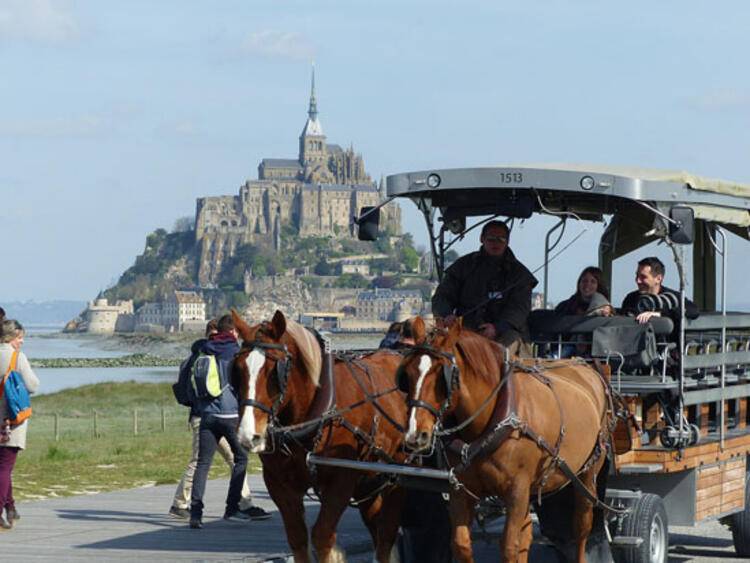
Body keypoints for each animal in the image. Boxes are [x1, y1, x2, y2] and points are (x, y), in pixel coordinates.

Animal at [232, 310, 408, 563]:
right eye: (236, 370)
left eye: (275, 371)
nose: (248, 436)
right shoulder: (279, 483)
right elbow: (297, 538)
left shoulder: (342, 479)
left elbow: (322, 537)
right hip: (370, 481)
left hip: (398, 474)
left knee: (386, 533)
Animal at [402, 318, 612, 563]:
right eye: (407, 374)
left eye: (440, 376)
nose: (415, 434)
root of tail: (587, 367)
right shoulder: (460, 490)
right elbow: (462, 544)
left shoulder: (516, 491)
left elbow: (509, 546)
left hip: (588, 474)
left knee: (581, 528)